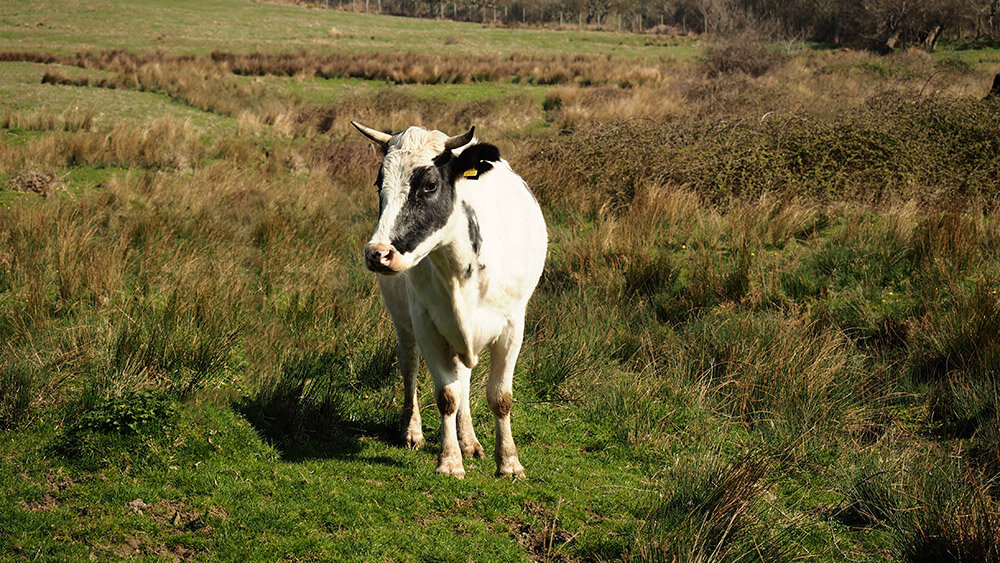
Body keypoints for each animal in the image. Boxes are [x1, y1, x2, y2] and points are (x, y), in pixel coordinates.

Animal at [352, 121, 548, 478]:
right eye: (378, 183)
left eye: (430, 185)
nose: (377, 254)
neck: (461, 271)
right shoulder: (427, 324)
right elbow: (446, 395)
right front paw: (450, 461)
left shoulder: (513, 325)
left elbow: (500, 397)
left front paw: (509, 462)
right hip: (403, 320)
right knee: (410, 366)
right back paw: (413, 430)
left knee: (465, 378)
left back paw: (469, 439)